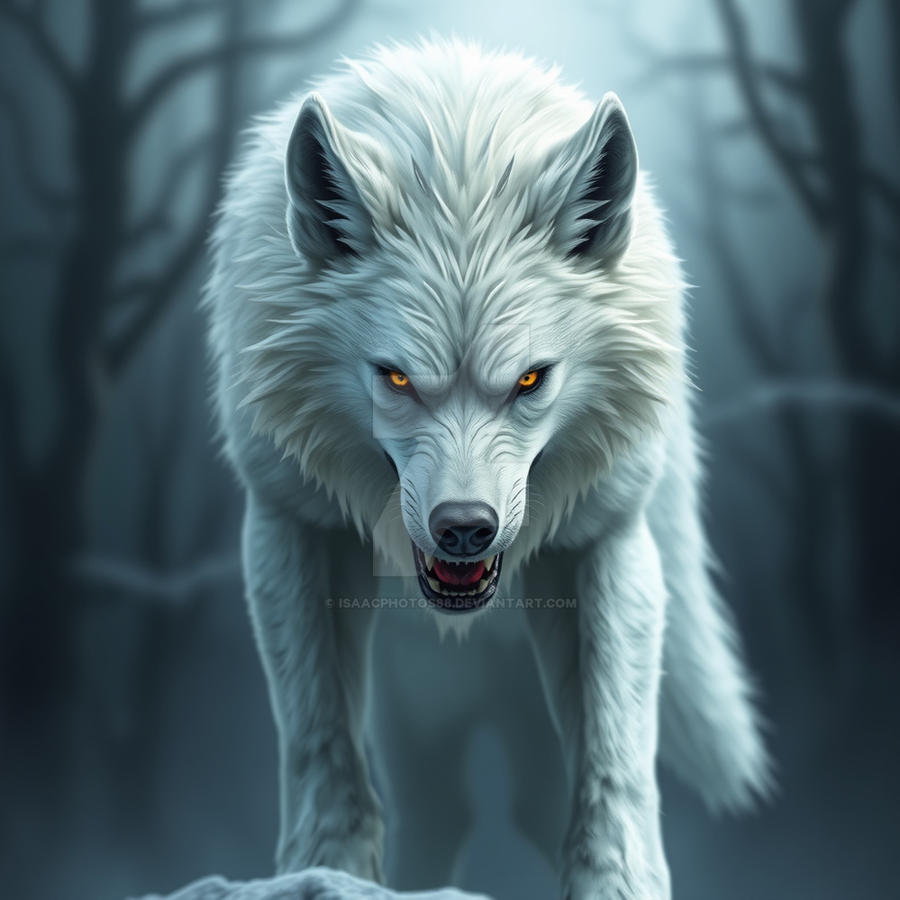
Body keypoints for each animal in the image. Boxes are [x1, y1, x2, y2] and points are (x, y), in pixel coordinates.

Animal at [204, 38, 771, 900]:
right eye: (396, 378)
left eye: (532, 379)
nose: (465, 530)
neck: (458, 137)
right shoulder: (290, 525)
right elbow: (318, 740)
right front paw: (323, 870)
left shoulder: (606, 541)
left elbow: (615, 755)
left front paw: (618, 882)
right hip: (424, 734)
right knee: (439, 809)